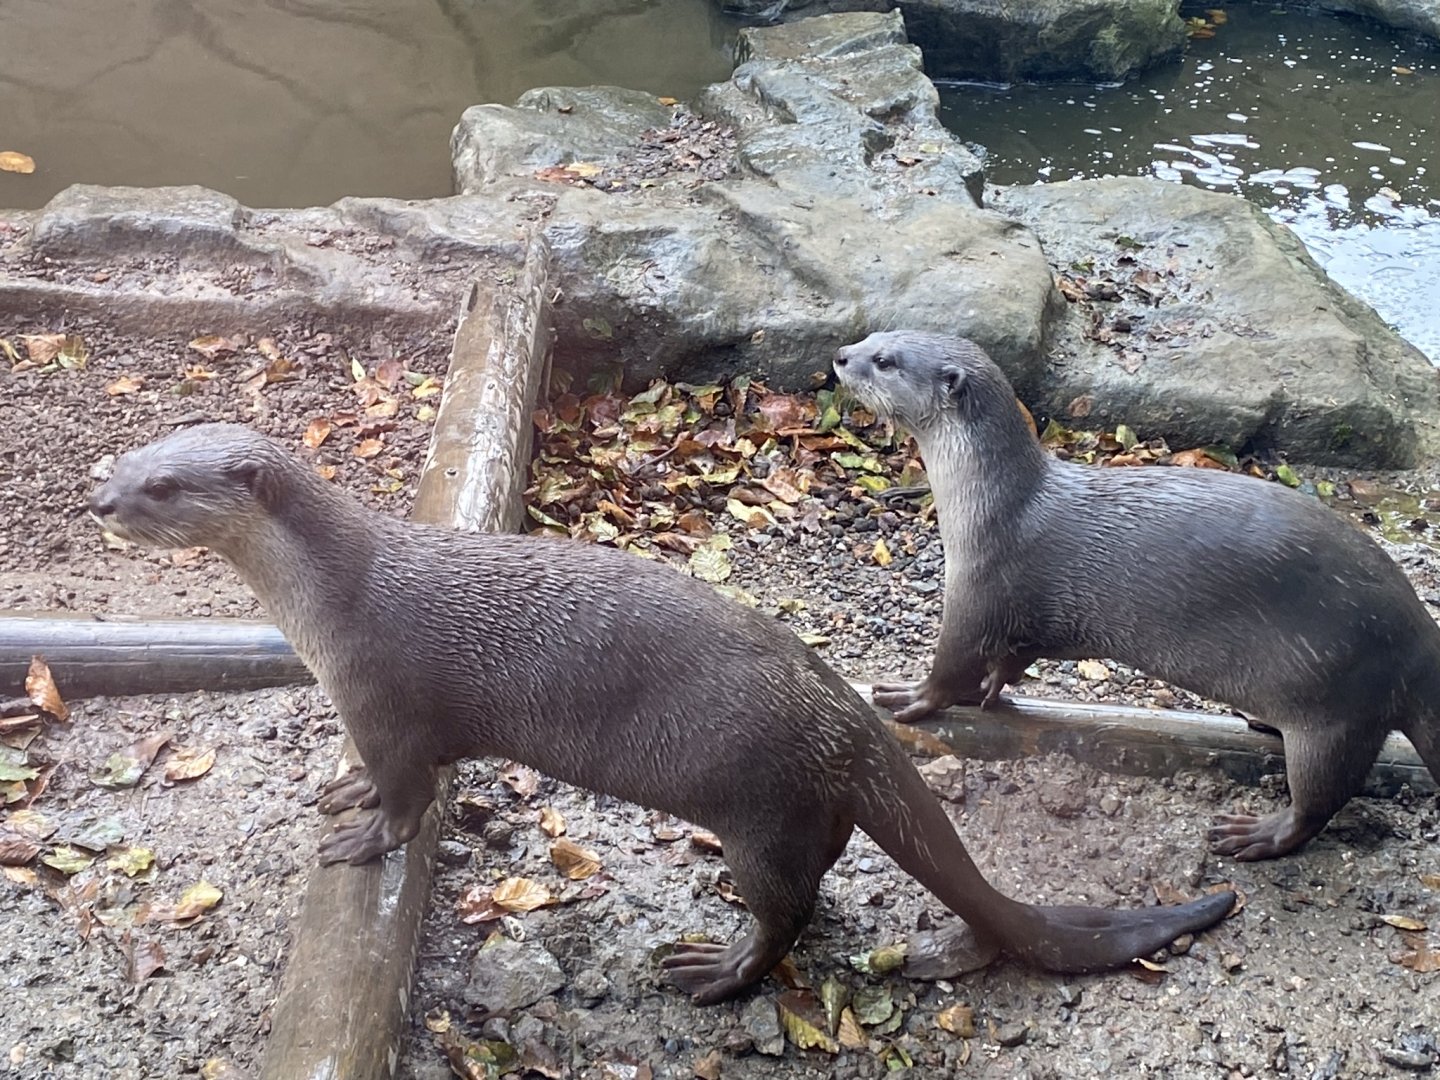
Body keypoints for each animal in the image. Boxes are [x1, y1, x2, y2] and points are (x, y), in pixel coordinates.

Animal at [88, 423, 1233, 1003]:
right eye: (127, 462)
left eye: (163, 486)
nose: (101, 500)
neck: (330, 600)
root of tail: (852, 716)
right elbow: (374, 774)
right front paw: (340, 793)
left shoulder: (386, 697)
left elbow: (410, 794)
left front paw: (365, 837)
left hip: (761, 809)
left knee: (788, 912)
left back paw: (714, 972)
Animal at [834, 331, 1440, 862]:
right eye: (875, 335)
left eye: (884, 361)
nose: (841, 355)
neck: (994, 504)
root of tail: (1420, 641)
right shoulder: (1030, 619)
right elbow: (1016, 656)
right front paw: (994, 687)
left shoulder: (980, 586)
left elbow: (953, 663)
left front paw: (912, 695)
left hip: (1340, 703)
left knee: (1321, 799)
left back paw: (1256, 834)